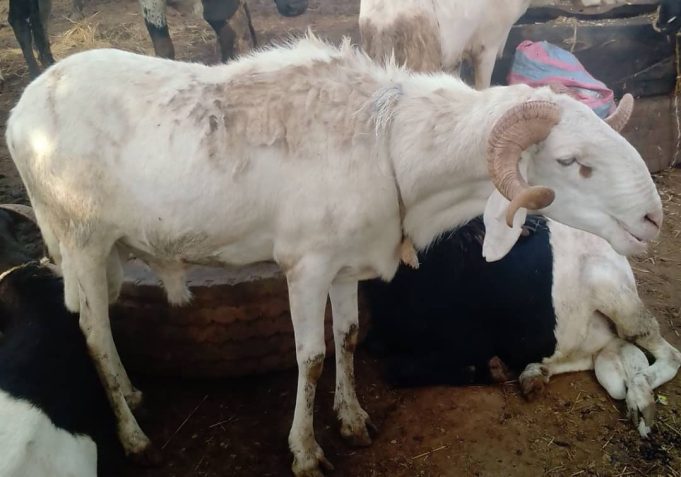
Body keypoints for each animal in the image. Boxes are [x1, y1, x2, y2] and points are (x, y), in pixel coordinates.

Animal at [363, 215, 681, 438]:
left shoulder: (464, 342)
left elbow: (396, 369)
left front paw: (488, 370)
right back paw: (534, 374)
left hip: (616, 295)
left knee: (668, 353)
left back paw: (640, 399)